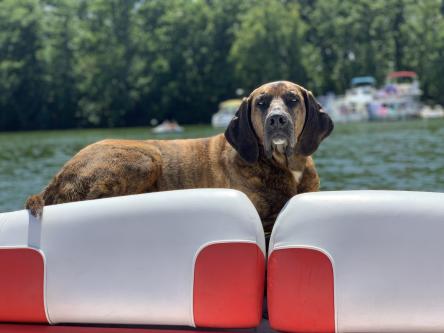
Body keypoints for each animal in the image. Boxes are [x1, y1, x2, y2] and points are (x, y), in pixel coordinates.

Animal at [26, 80, 332, 231]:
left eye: (292, 99)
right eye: (261, 103)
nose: (276, 120)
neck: (285, 163)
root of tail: (55, 180)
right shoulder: (264, 216)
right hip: (146, 157)